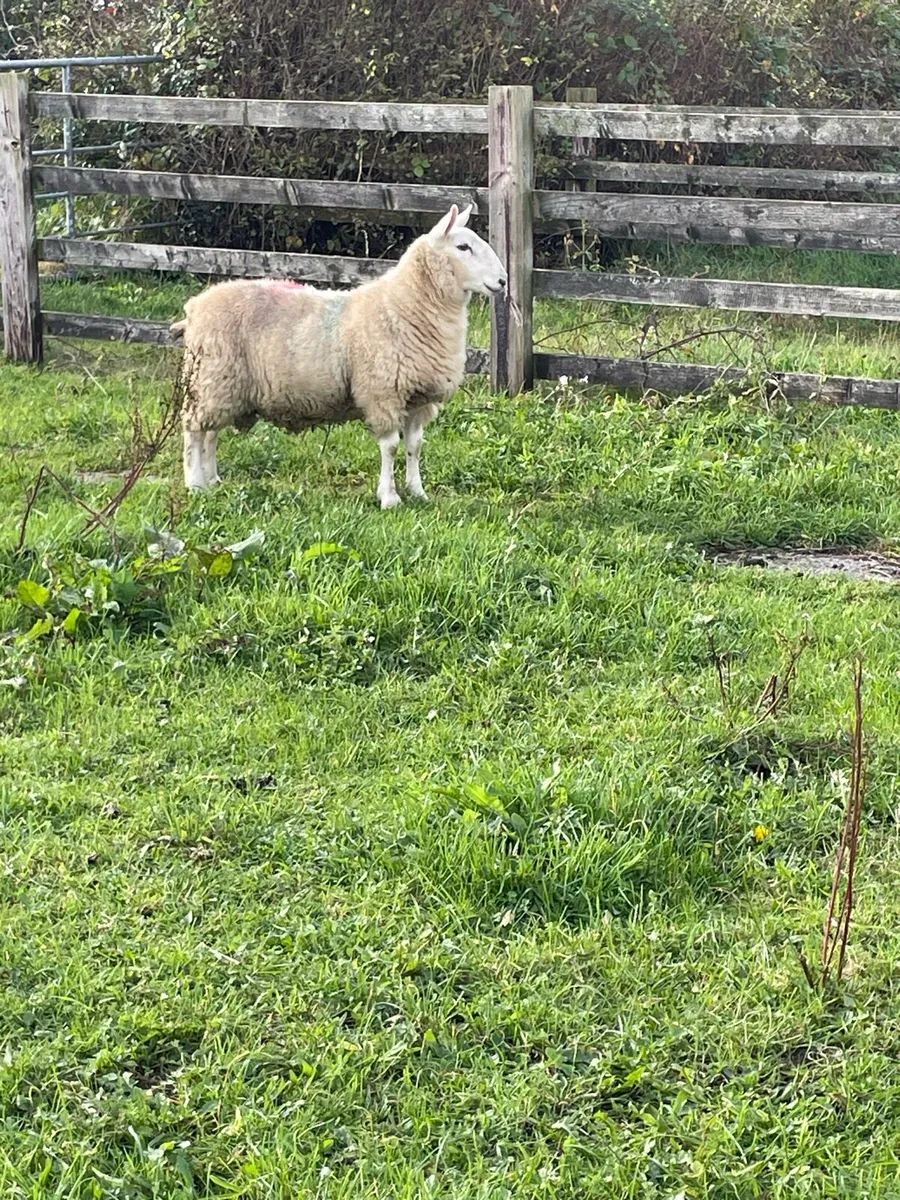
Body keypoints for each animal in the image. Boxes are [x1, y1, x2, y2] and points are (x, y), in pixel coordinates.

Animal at [171, 204, 506, 508]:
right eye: (463, 247)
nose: (503, 281)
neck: (403, 305)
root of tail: (195, 307)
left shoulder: (418, 397)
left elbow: (415, 446)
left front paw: (417, 492)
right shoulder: (382, 392)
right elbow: (391, 447)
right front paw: (389, 498)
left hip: (224, 386)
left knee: (211, 433)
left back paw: (213, 480)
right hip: (211, 379)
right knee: (194, 432)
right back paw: (196, 484)